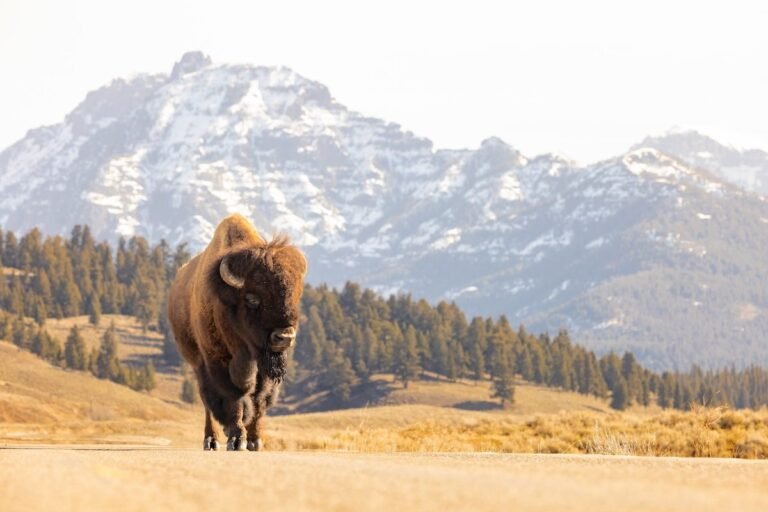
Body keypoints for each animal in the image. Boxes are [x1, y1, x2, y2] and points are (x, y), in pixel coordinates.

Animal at [168, 214, 307, 450]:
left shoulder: (264, 369)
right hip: (197, 364)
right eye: (252, 299)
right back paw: (211, 440)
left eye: (294, 296)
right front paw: (236, 439)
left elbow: (259, 400)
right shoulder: (217, 362)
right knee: (207, 403)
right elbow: (234, 397)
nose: (284, 337)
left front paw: (254, 440)